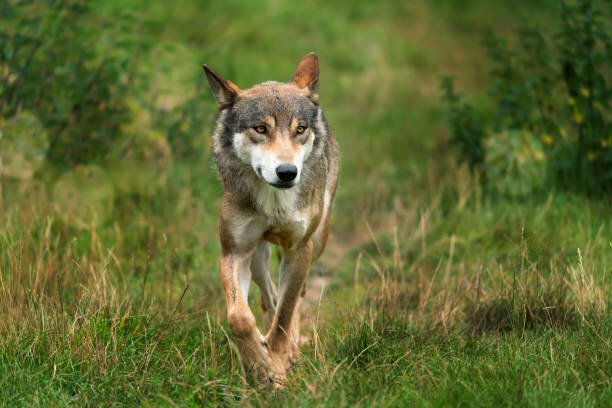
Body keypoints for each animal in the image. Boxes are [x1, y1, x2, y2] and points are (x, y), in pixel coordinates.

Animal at [204, 53, 340, 386]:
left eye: (300, 129)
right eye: (260, 129)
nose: (287, 172)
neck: (274, 204)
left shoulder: (298, 249)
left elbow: (286, 313)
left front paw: (277, 363)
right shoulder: (233, 252)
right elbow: (239, 317)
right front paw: (258, 365)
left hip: (317, 241)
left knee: (294, 297)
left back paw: (290, 350)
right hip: (257, 254)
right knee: (268, 296)